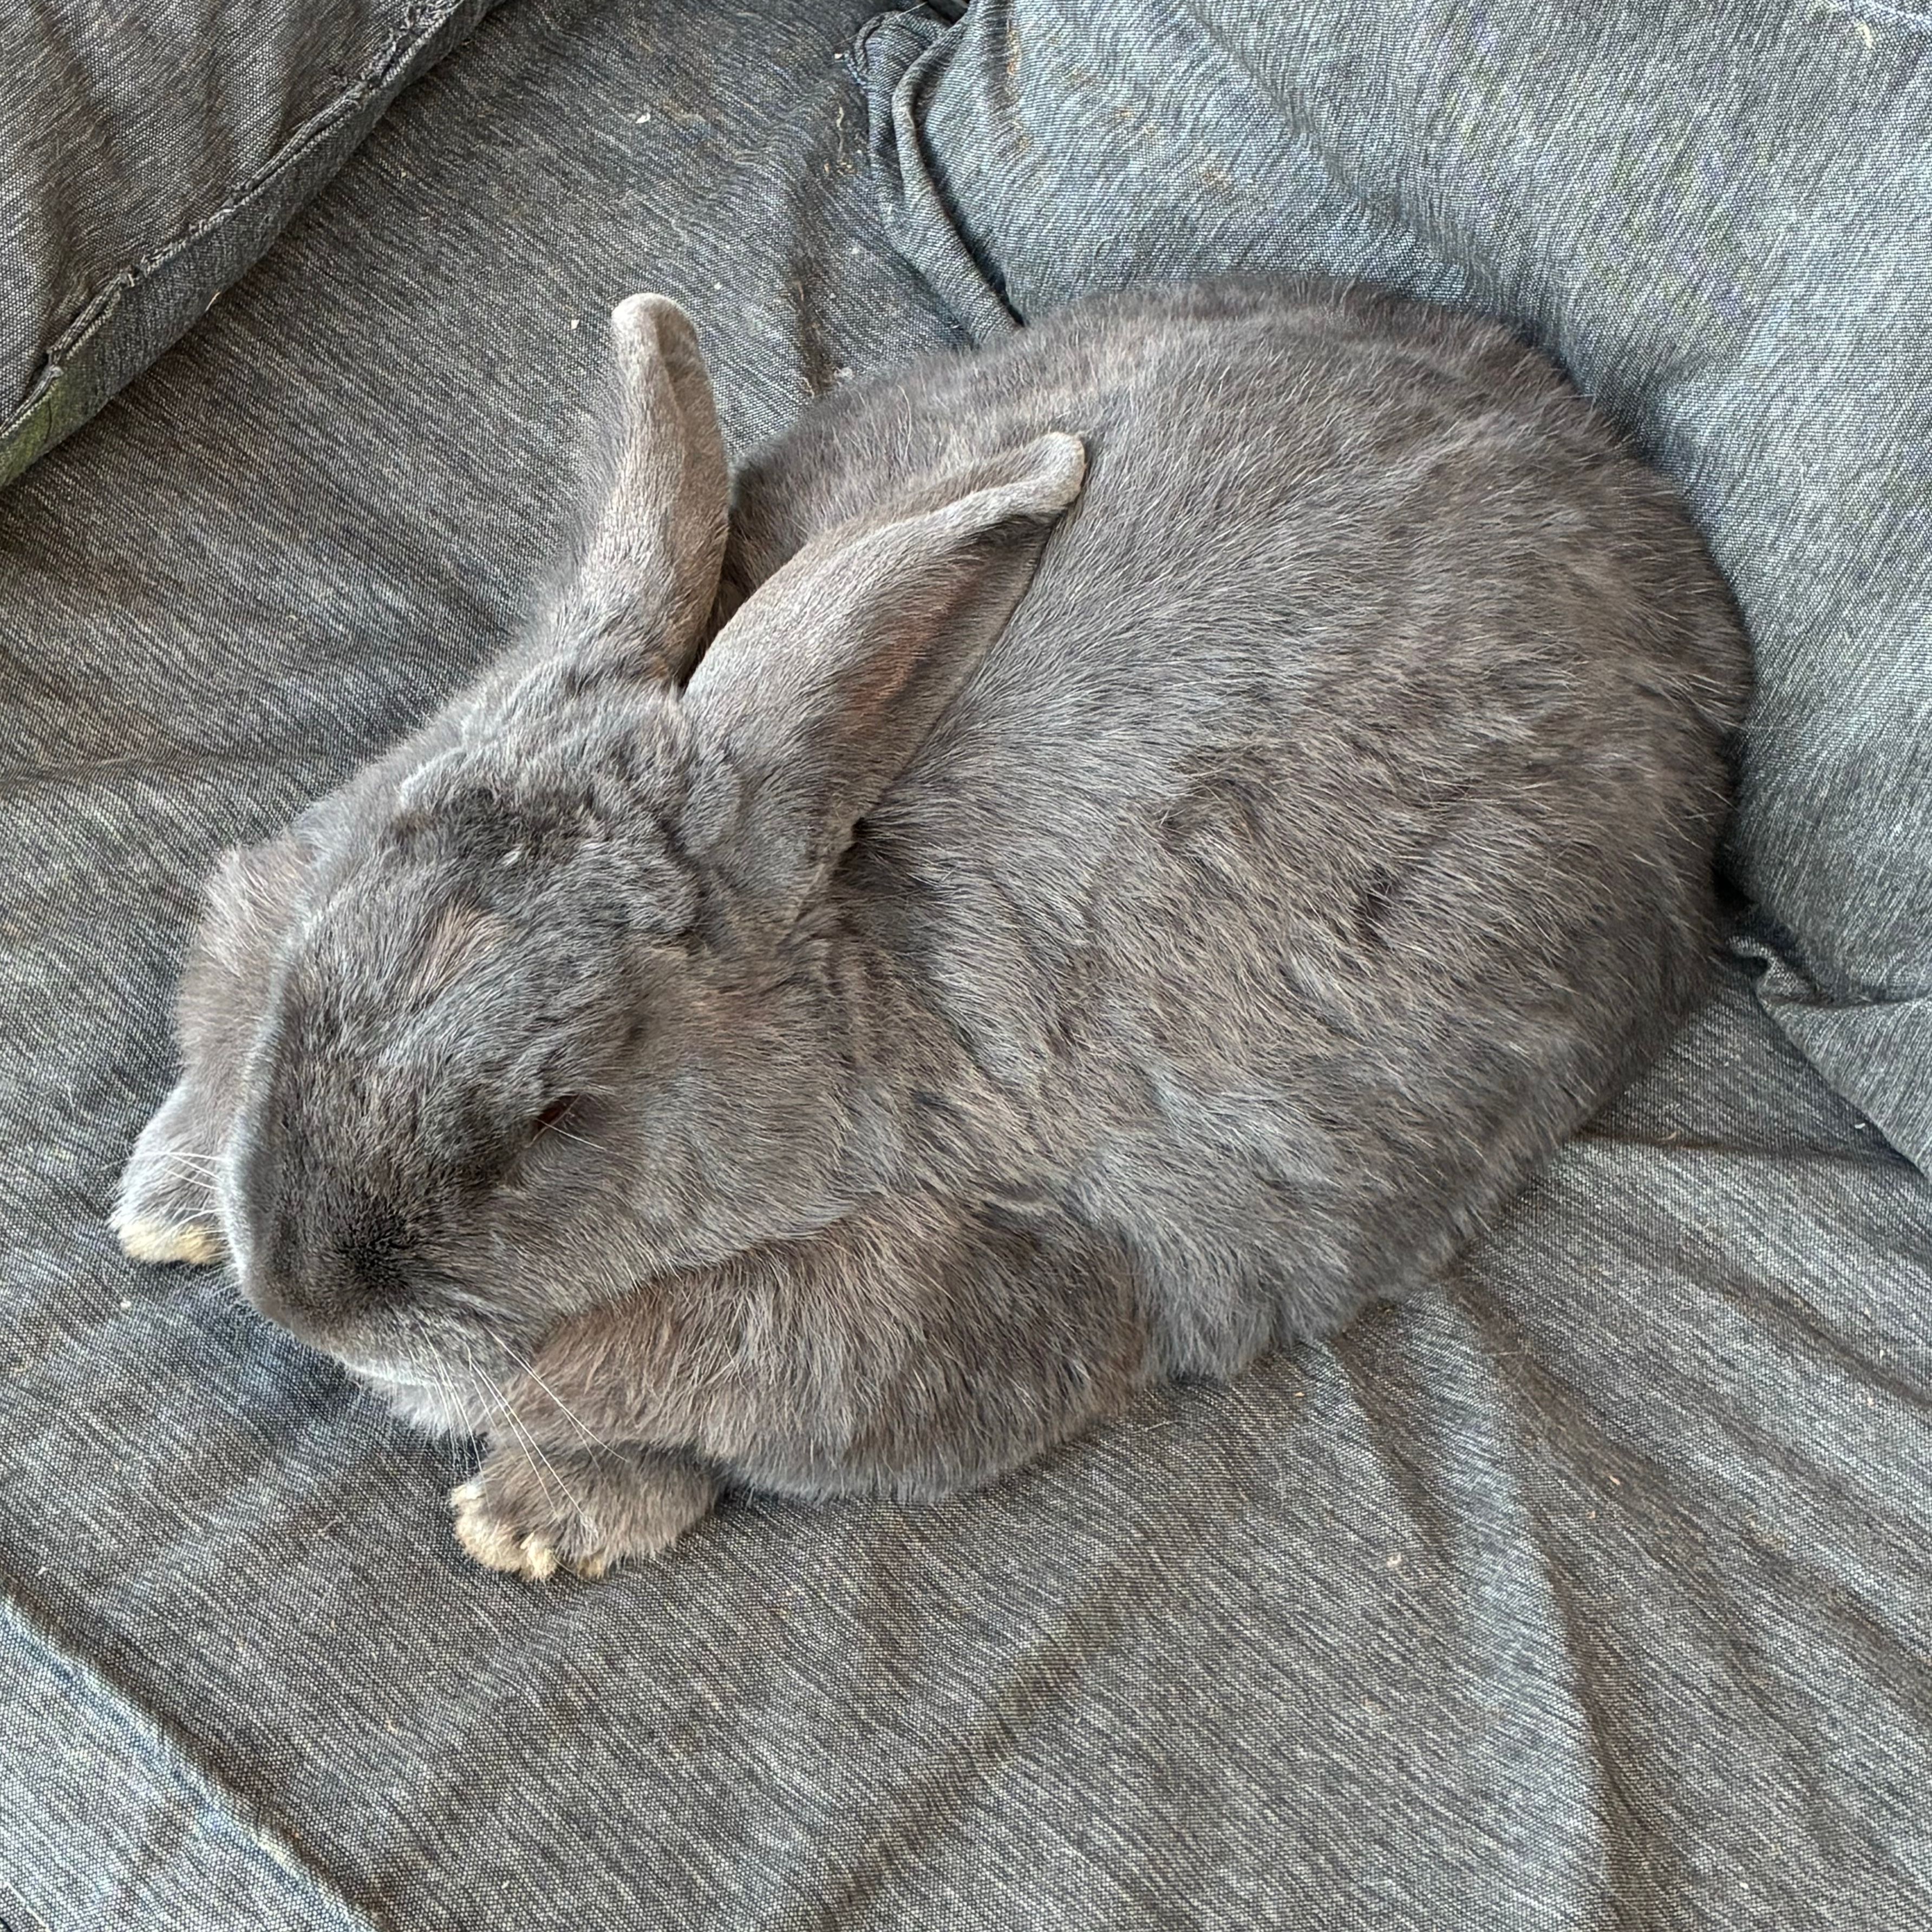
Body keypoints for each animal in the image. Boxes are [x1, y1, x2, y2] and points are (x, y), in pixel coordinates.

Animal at [114, 280, 1752, 1579]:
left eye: (559, 1112)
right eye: (315, 950)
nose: (300, 1290)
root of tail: (1641, 515)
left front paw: (531, 1520)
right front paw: (169, 1202)